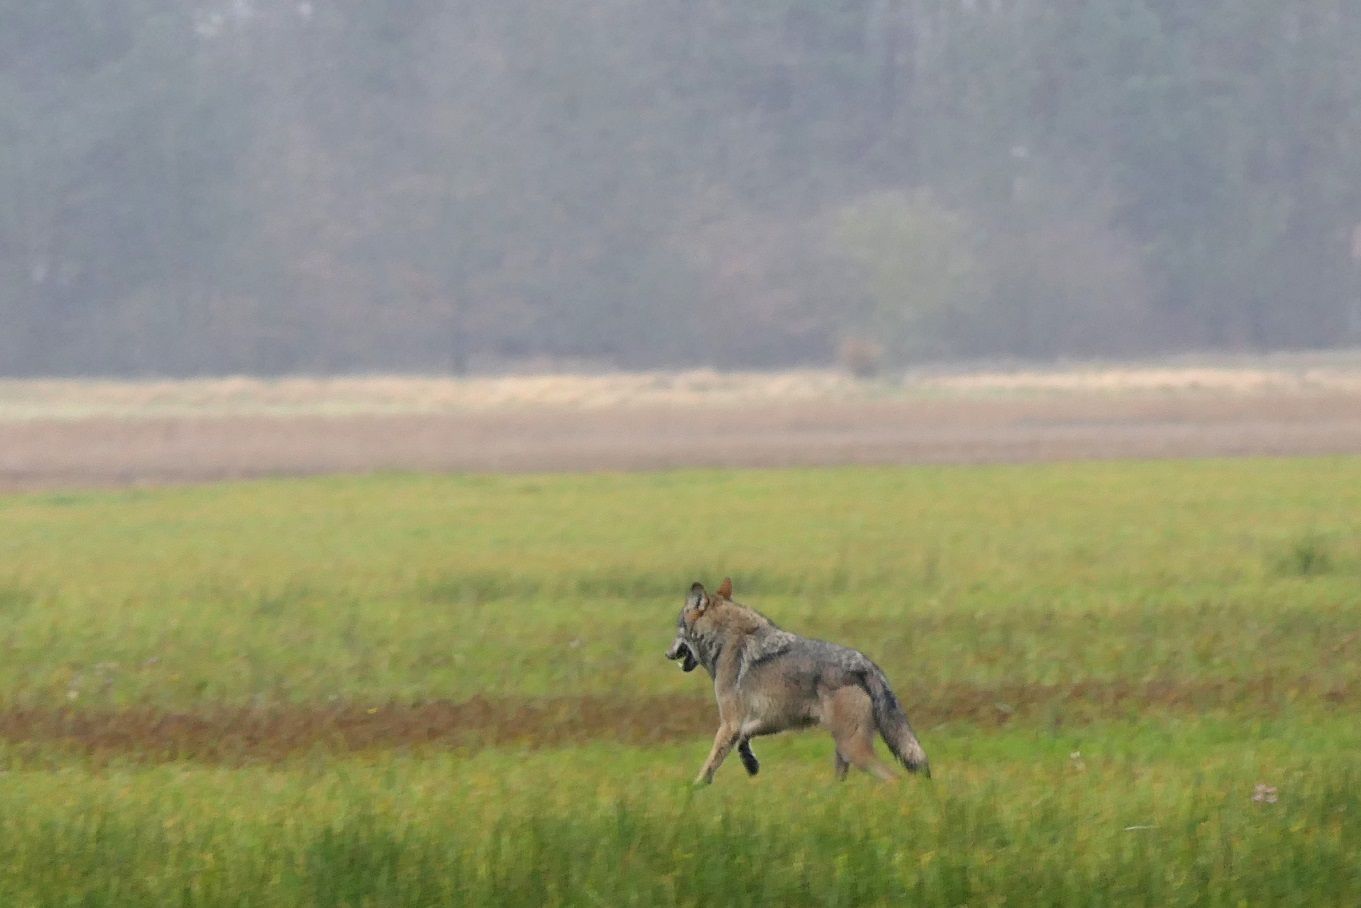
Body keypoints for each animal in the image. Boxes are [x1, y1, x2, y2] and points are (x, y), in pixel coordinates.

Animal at [665, 577, 930, 784]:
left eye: (677, 627)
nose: (667, 654)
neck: (726, 641)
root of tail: (866, 665)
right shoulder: (766, 720)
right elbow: (744, 739)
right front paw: (751, 764)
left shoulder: (729, 724)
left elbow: (708, 766)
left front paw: (694, 791)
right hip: (843, 750)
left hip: (853, 749)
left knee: (895, 779)